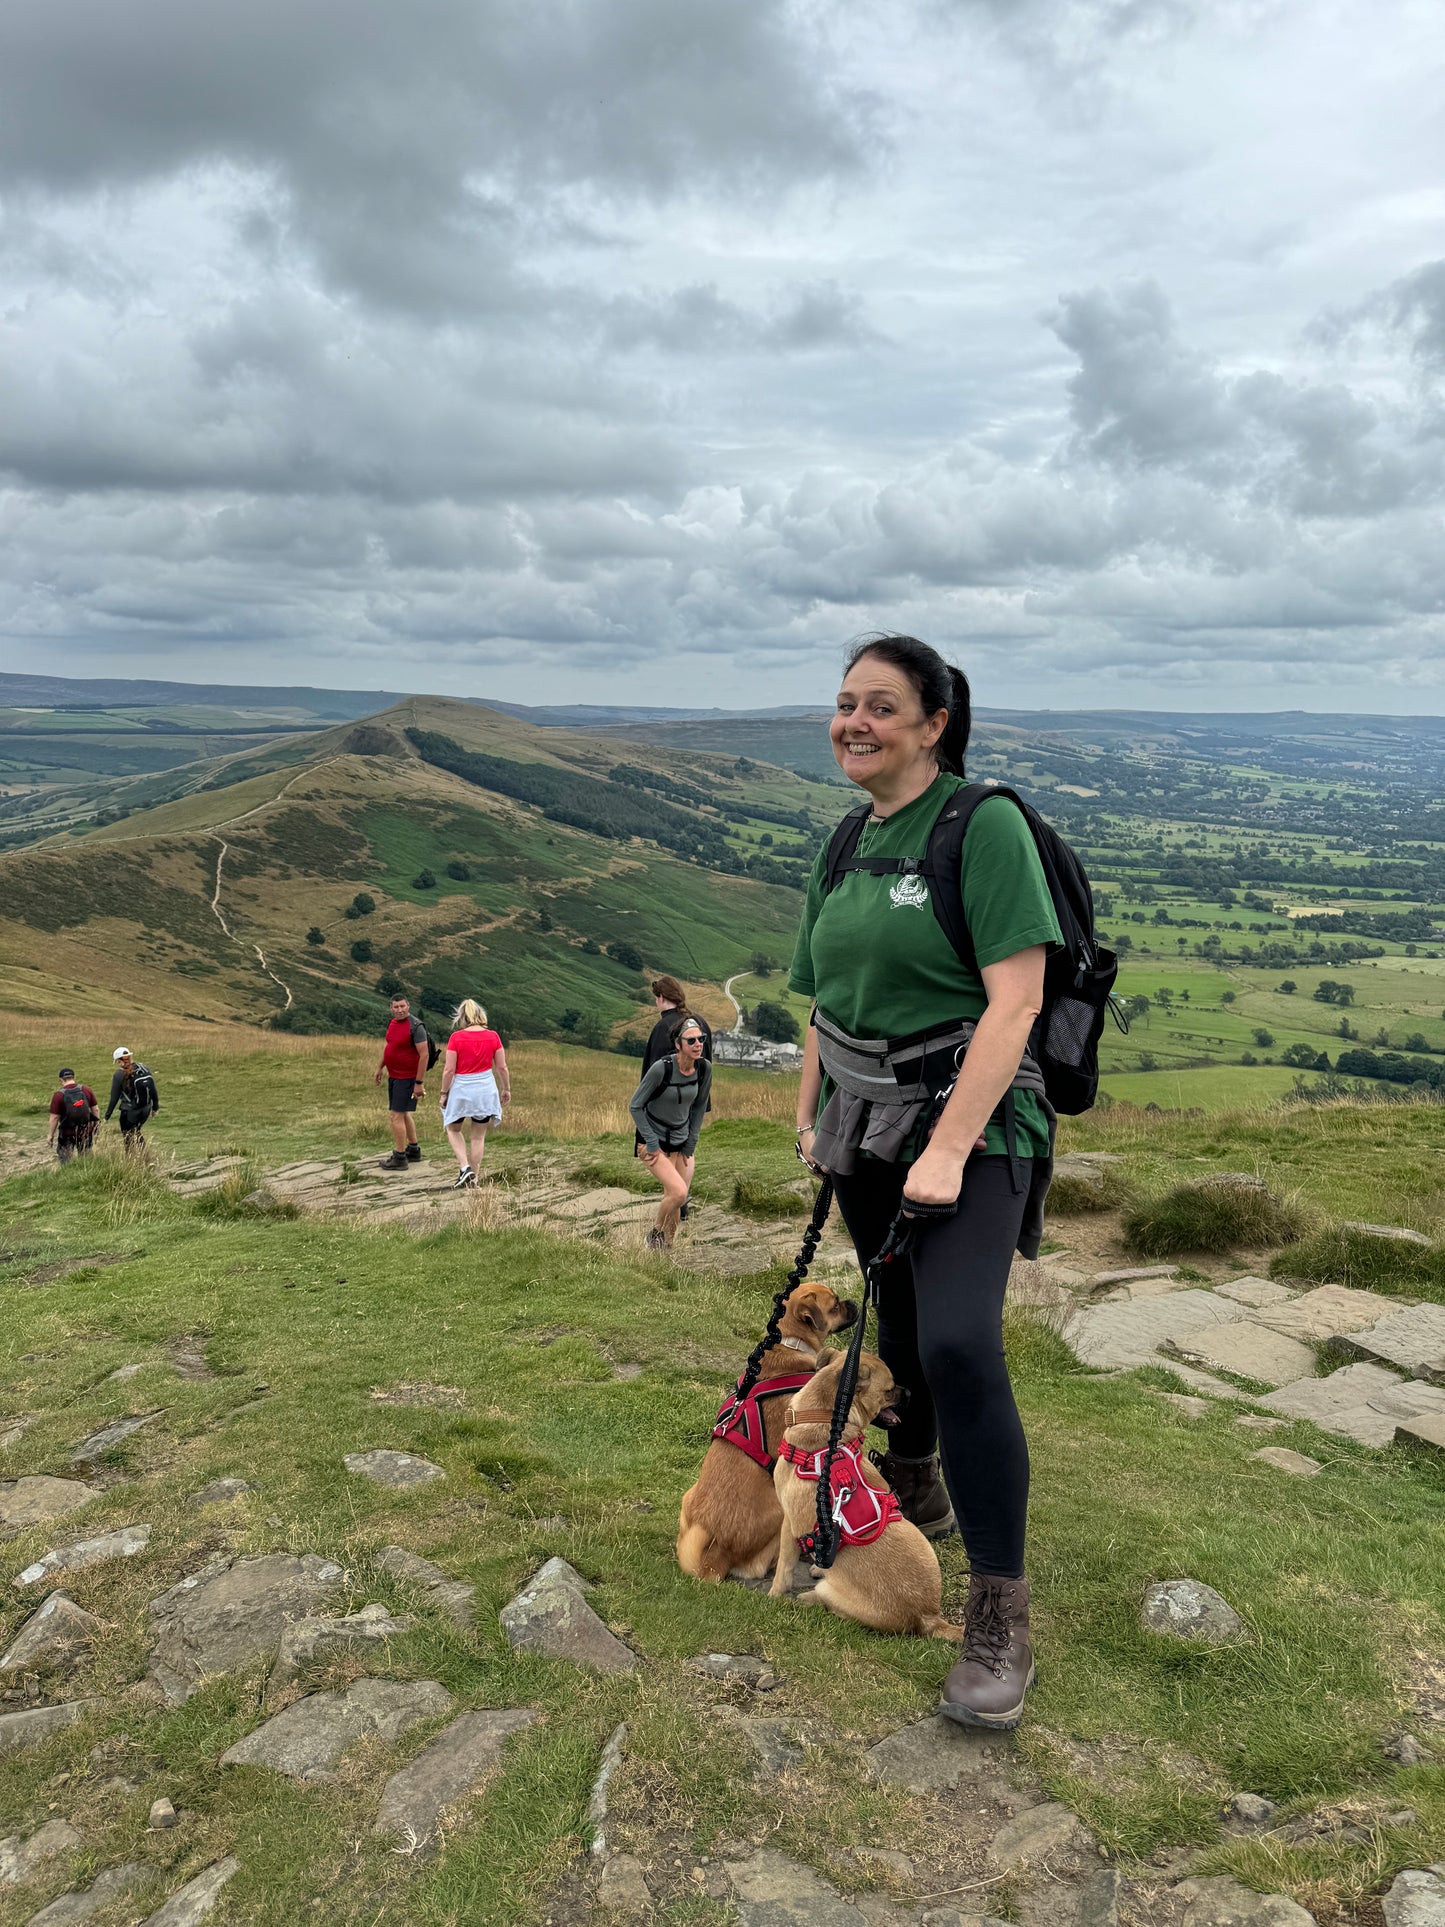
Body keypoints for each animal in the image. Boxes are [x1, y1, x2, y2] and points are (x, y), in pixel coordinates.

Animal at [774, 1341, 967, 1641]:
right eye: (889, 1390)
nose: (910, 1391)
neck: (825, 1419)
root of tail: (928, 1618)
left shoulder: (788, 1524)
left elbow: (783, 1568)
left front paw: (773, 1595)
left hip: (833, 1595)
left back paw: (809, 1596)